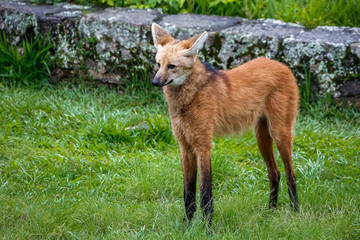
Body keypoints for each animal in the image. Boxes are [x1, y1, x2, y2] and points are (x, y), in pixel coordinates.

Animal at [150, 23, 300, 224]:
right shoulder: (185, 146)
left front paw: (207, 226)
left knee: (291, 175)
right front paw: (187, 225)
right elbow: (188, 193)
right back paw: (270, 211)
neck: (188, 97)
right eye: (159, 65)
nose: (154, 82)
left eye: (172, 66)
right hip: (261, 137)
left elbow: (205, 194)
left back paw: (295, 212)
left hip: (279, 133)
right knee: (275, 173)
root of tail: (282, 65)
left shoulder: (203, 145)